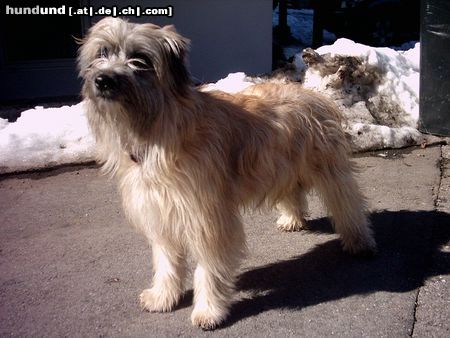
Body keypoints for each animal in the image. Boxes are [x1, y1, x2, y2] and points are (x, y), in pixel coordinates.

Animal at [78, 16, 376, 330]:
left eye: (140, 59)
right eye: (102, 52)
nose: (103, 80)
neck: (159, 130)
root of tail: (310, 93)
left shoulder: (207, 217)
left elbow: (208, 268)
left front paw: (209, 310)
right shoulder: (160, 212)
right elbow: (166, 262)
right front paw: (162, 296)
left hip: (329, 170)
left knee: (347, 204)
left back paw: (360, 241)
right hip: (280, 164)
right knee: (292, 190)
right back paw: (292, 218)